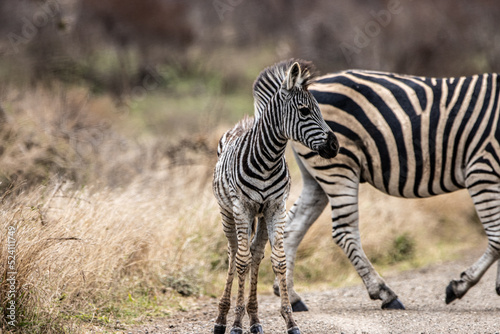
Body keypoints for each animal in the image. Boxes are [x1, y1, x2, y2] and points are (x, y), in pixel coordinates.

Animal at [213, 60, 338, 334]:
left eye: (318, 110)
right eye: (304, 111)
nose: (335, 146)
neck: (267, 160)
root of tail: (245, 121)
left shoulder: (276, 207)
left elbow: (279, 261)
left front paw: (290, 322)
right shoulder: (242, 207)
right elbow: (241, 261)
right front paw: (236, 324)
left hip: (259, 216)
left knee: (256, 252)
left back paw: (255, 320)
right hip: (227, 211)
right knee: (234, 252)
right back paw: (222, 319)